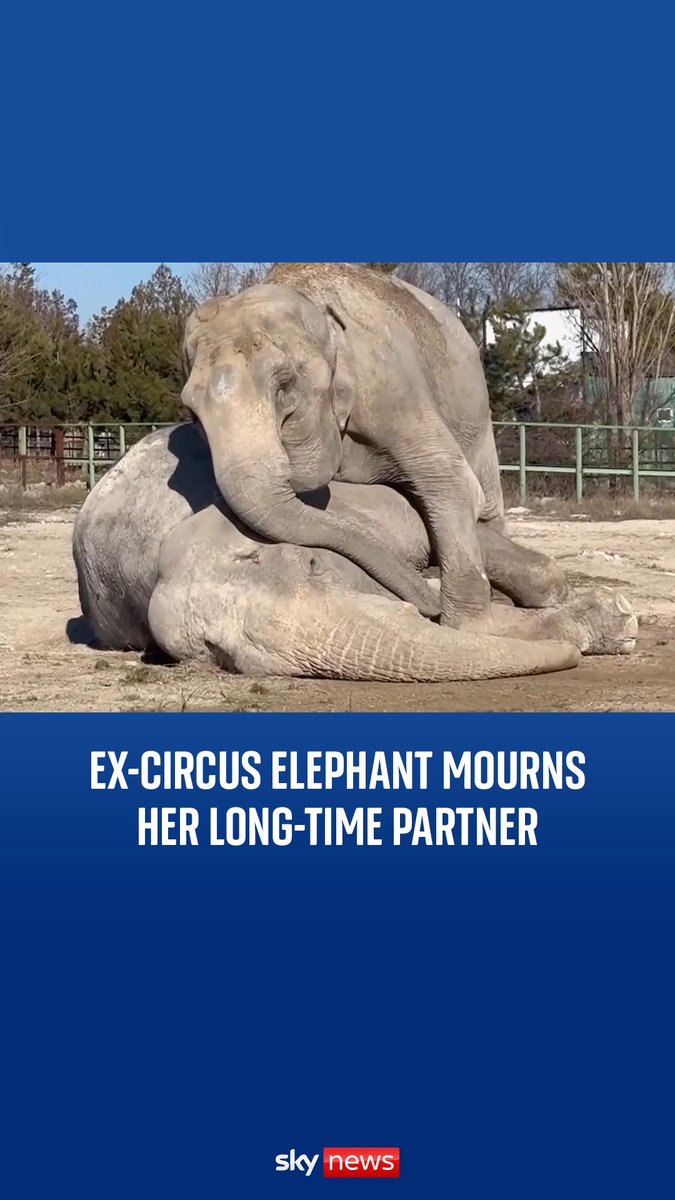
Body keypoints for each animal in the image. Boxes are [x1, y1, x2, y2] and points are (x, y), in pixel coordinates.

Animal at [180, 262, 570, 628]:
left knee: (485, 503)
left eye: (285, 387)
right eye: (192, 412)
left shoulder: (393, 392)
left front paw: (468, 627)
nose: (428, 607)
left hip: (477, 417)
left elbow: (451, 483)